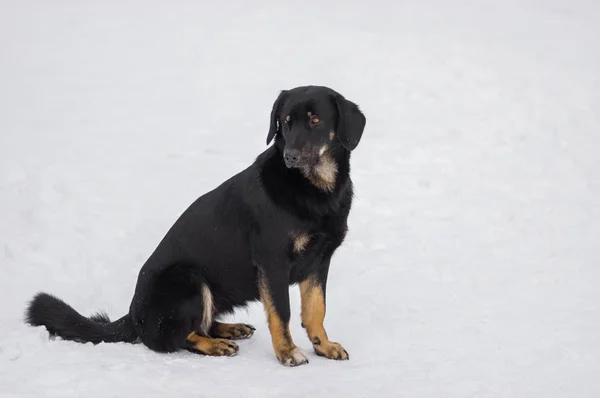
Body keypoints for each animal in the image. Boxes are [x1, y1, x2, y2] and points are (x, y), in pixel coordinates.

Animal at [25, 84, 366, 366]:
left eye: (315, 120)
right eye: (284, 121)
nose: (290, 156)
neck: (314, 189)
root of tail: (134, 316)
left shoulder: (319, 261)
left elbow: (315, 309)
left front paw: (323, 346)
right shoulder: (273, 264)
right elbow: (281, 313)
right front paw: (287, 352)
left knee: (200, 323)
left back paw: (230, 329)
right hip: (189, 279)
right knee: (175, 338)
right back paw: (214, 345)